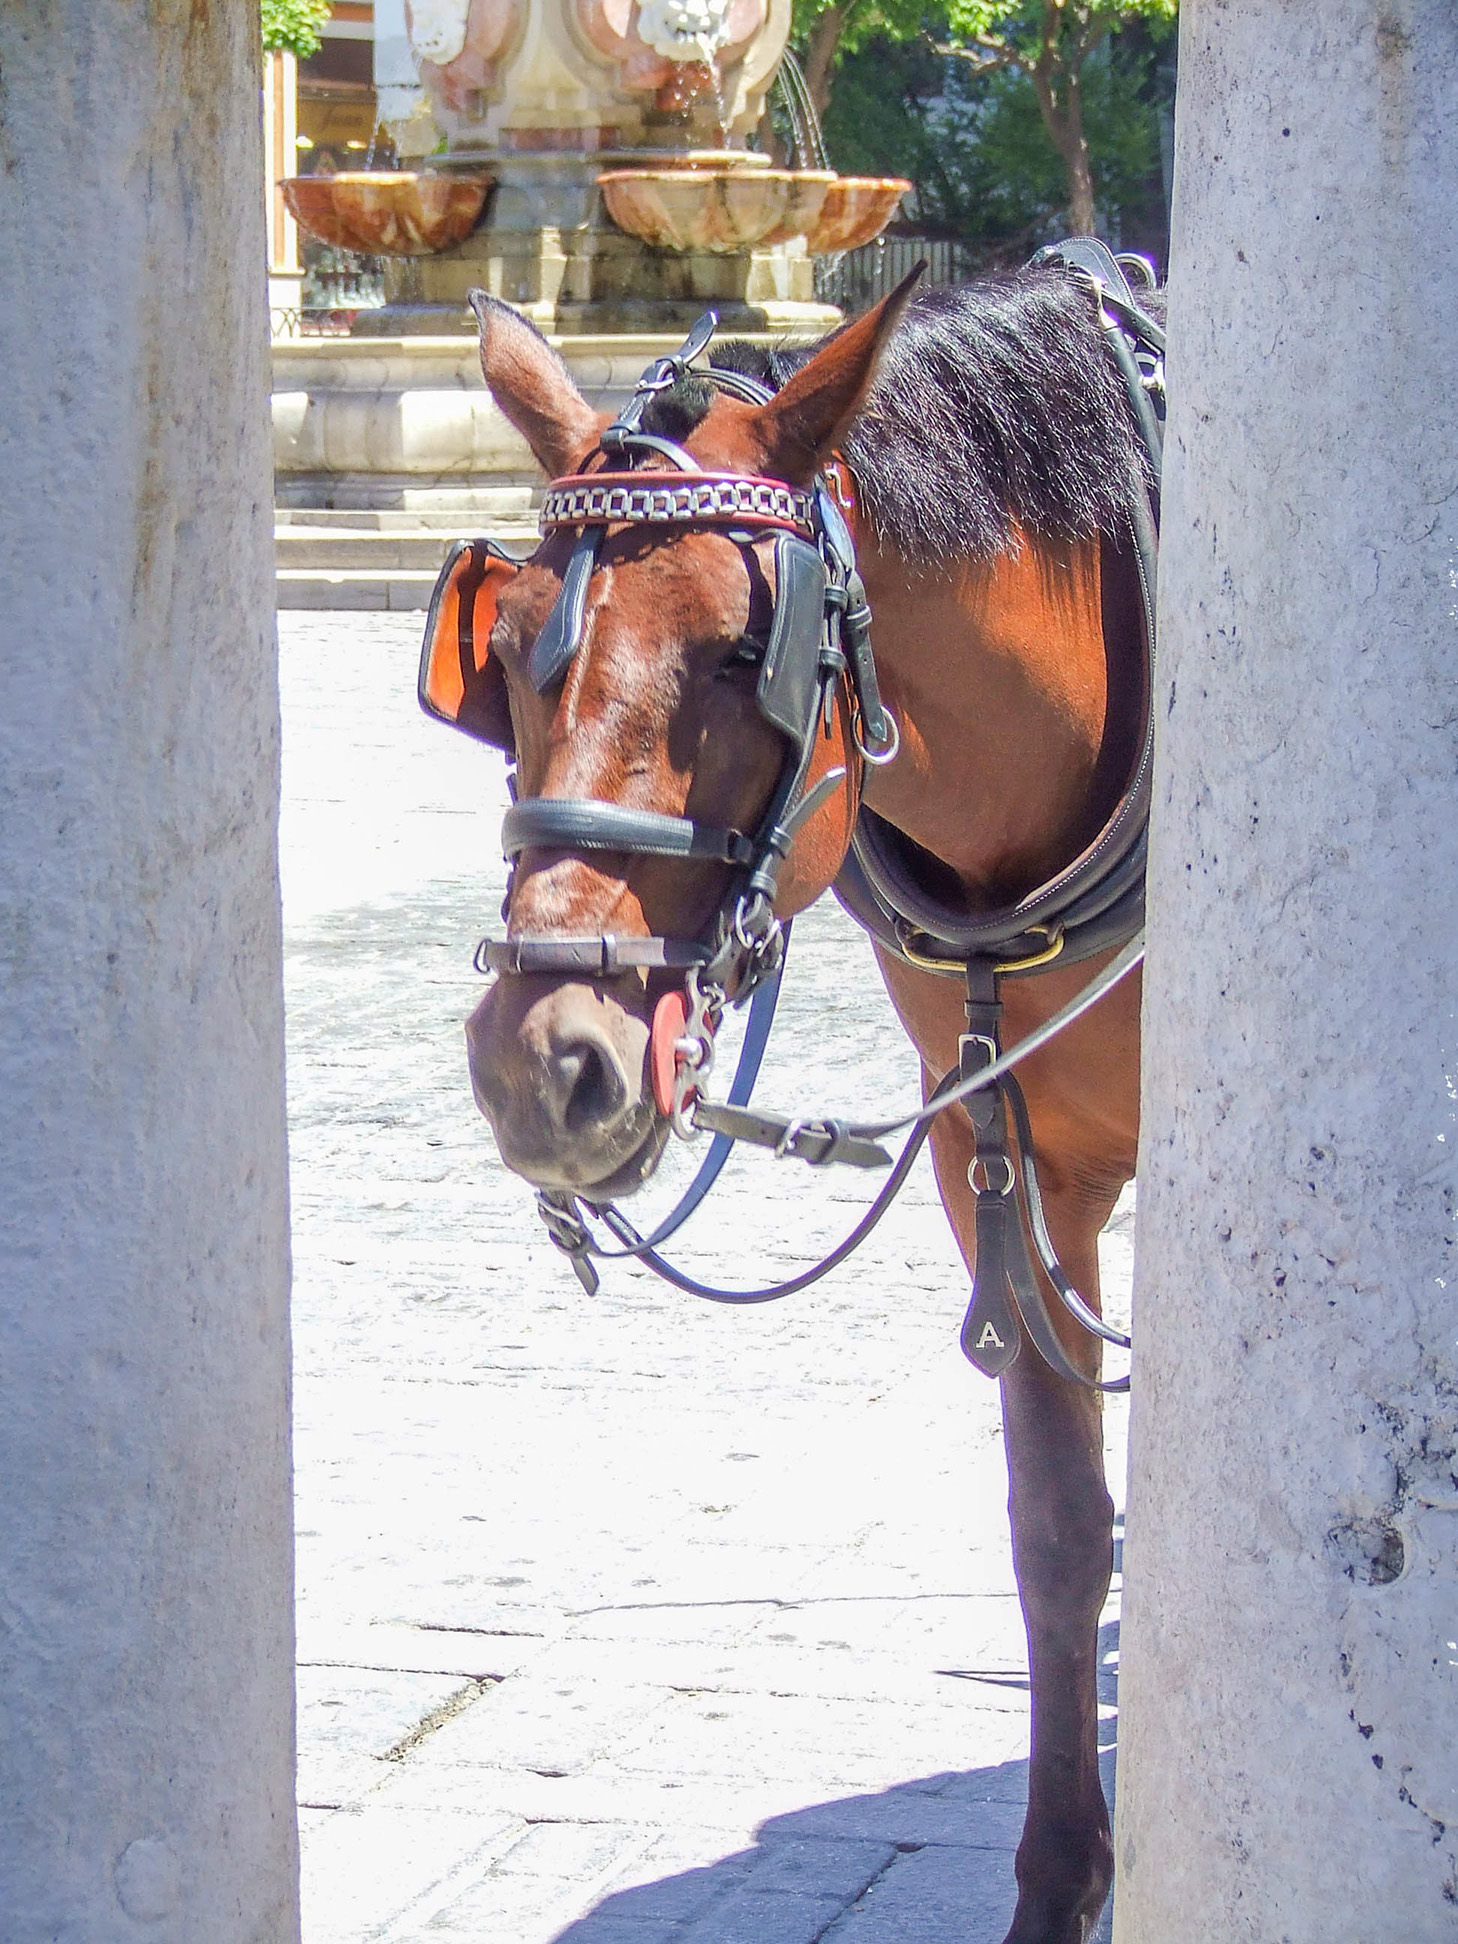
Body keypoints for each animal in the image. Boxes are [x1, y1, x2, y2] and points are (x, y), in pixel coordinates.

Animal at [429, 256, 1157, 1944]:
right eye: (507, 657)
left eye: (730, 657)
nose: (542, 1060)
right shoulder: (999, 1157)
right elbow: (1057, 1526)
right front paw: (1060, 1883)